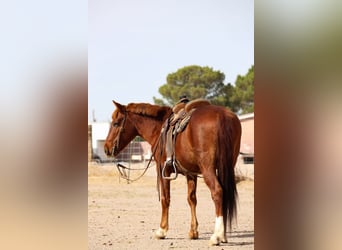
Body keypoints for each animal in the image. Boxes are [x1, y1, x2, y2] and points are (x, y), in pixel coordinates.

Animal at [103, 100, 240, 245]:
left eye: (115, 123)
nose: (106, 148)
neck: (158, 129)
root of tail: (222, 115)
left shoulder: (163, 169)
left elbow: (165, 198)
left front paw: (161, 230)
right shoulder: (190, 173)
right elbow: (191, 199)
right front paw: (193, 231)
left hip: (208, 168)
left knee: (217, 192)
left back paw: (217, 236)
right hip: (227, 166)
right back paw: (223, 235)